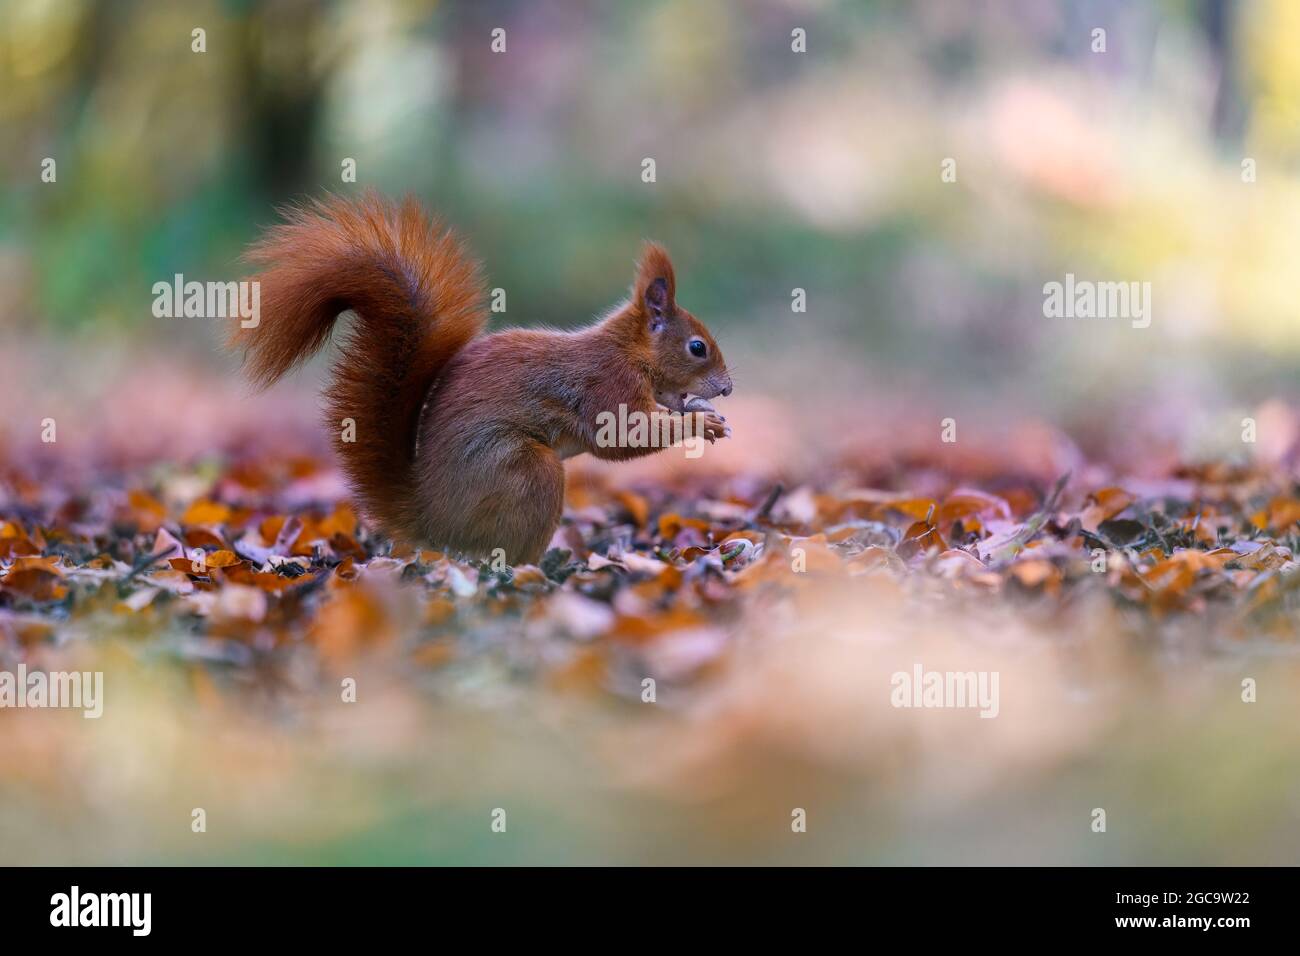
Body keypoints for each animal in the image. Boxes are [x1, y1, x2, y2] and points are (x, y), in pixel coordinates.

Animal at [230, 195, 733, 567]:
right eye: (697, 348)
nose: (727, 388)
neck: (629, 353)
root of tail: (431, 520)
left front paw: (702, 414)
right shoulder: (606, 387)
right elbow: (624, 436)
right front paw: (701, 425)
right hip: (525, 473)